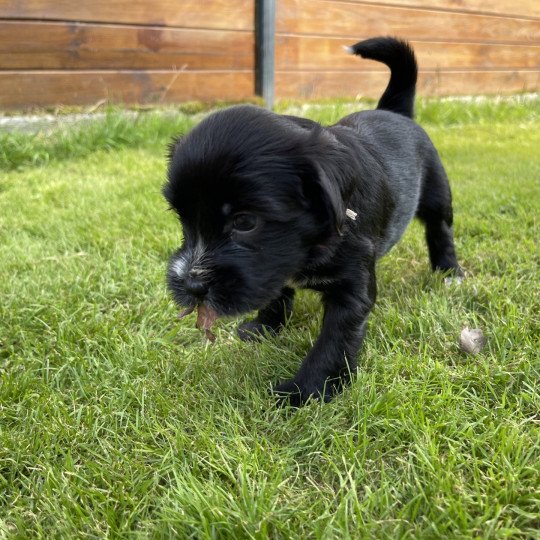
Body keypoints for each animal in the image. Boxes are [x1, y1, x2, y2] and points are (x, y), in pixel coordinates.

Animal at [162, 37, 462, 404]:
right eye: (182, 219)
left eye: (245, 222)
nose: (191, 286)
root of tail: (394, 111)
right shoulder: (274, 266)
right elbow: (276, 293)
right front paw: (264, 328)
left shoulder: (352, 286)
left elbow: (334, 340)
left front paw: (306, 391)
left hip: (436, 189)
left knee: (440, 229)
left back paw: (449, 273)